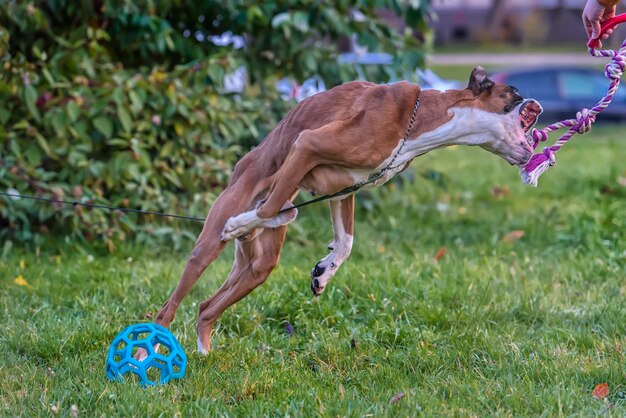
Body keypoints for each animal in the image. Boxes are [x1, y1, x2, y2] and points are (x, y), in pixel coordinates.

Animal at [152, 66, 540, 352]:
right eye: (514, 93)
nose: (538, 105)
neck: (419, 123)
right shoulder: (308, 145)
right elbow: (269, 206)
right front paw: (240, 223)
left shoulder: (343, 188)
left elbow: (345, 241)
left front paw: (324, 272)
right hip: (207, 248)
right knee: (168, 308)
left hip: (257, 267)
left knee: (206, 308)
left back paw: (204, 353)